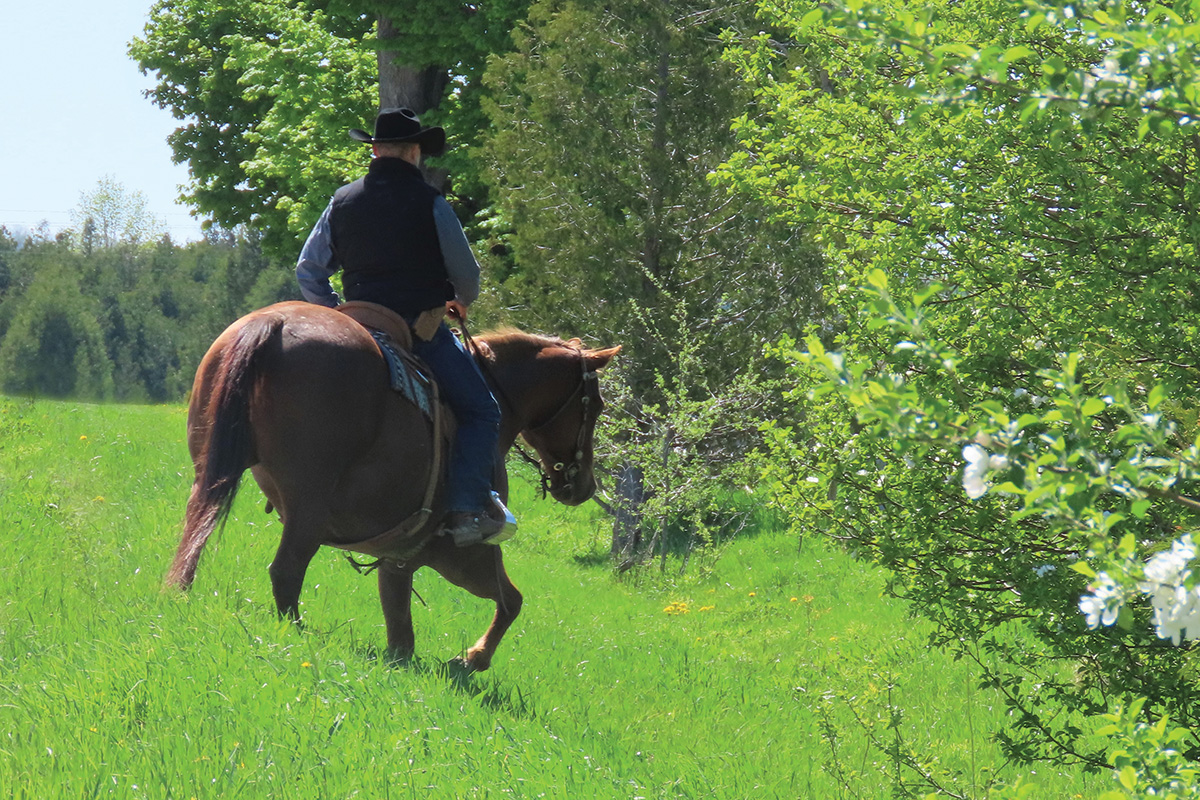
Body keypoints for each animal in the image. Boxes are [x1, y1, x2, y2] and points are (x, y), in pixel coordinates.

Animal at [164, 303, 619, 671]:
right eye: (595, 405)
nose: (583, 485)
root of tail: (273, 322)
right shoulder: (461, 553)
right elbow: (510, 601)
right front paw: (472, 659)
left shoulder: (397, 558)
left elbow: (400, 629)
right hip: (308, 506)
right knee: (286, 571)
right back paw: (297, 634)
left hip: (211, 473)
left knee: (195, 535)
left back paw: (178, 593)